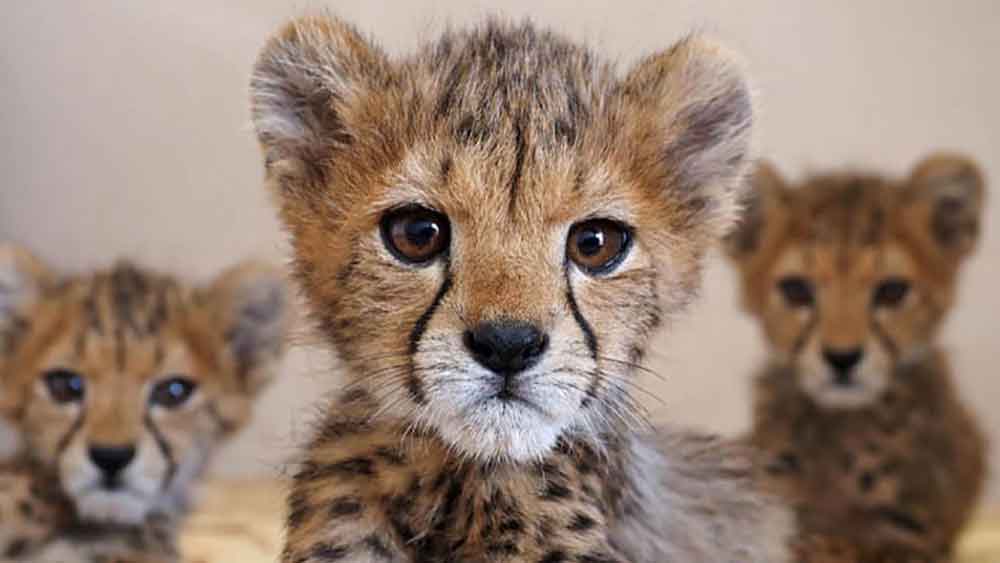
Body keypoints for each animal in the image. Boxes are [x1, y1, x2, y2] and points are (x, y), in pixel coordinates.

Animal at [724, 155, 989, 562]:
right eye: (796, 290)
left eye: (892, 291)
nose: (842, 358)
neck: (838, 425)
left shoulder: (914, 535)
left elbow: (845, 542)